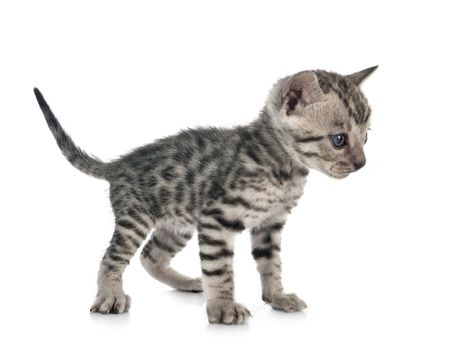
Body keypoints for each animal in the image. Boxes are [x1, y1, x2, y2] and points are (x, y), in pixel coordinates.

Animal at [33, 66, 378, 326]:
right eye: (339, 140)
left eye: (366, 137)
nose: (362, 164)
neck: (282, 167)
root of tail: (120, 163)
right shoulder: (217, 219)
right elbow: (220, 268)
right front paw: (223, 307)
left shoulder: (270, 223)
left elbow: (271, 263)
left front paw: (277, 296)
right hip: (135, 218)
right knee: (112, 257)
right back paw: (110, 296)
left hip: (178, 223)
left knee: (150, 256)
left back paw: (186, 282)